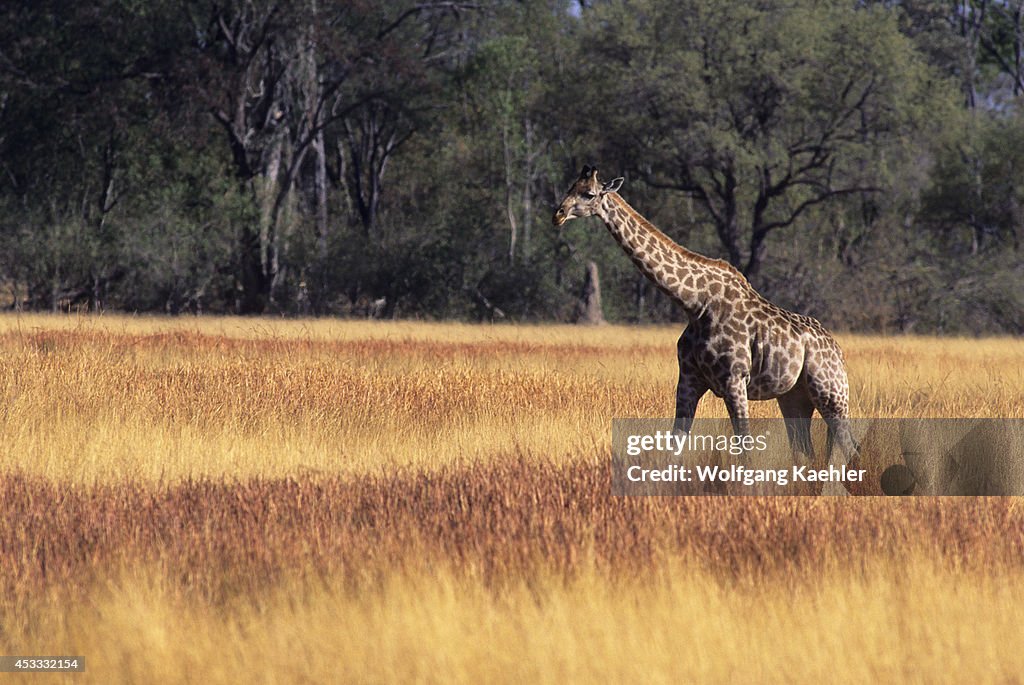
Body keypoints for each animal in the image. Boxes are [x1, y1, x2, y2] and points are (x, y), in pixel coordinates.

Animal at [552, 165, 856, 464]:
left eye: (589, 194)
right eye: (570, 187)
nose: (558, 214)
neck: (696, 304)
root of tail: (838, 350)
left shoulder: (735, 380)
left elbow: (745, 450)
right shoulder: (688, 380)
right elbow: (673, 446)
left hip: (830, 393)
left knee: (850, 448)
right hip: (795, 397)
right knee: (806, 453)